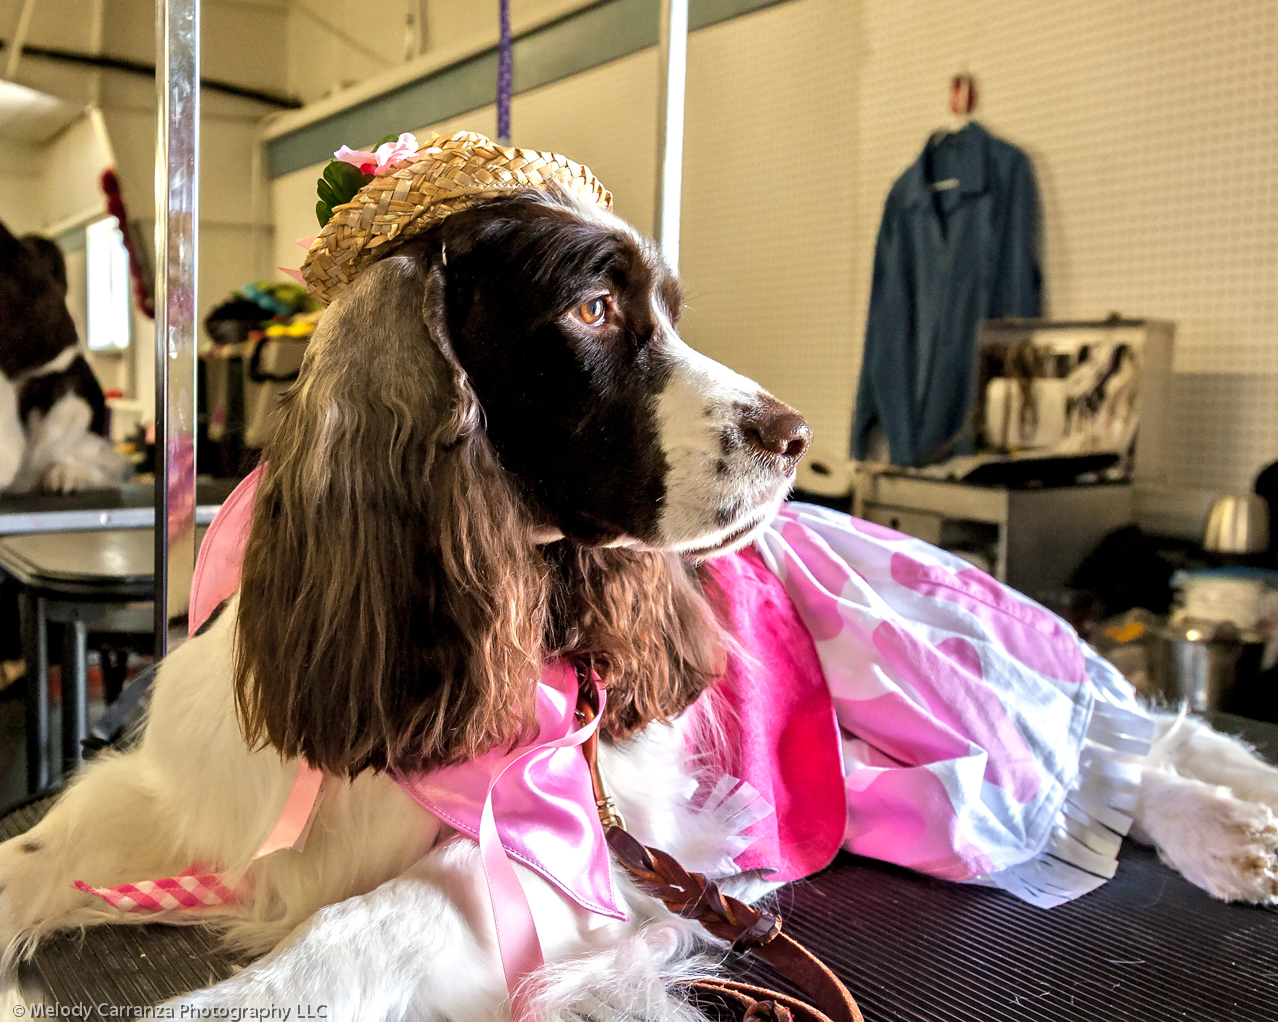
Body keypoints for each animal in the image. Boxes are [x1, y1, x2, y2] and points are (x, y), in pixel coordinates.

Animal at [2, 189, 1278, 1011]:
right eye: (594, 310)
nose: (793, 434)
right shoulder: (184, 798)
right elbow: (35, 851)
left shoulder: (554, 858)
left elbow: (330, 943)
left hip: (940, 676)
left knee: (1124, 744)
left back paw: (1229, 828)